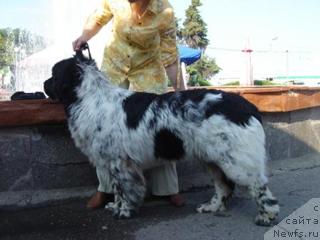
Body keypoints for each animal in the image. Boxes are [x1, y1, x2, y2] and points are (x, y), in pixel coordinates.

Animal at [43, 51, 278, 226]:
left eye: (53, 74)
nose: (44, 85)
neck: (90, 99)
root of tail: (249, 107)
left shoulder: (120, 163)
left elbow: (125, 190)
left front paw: (124, 212)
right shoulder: (113, 163)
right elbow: (118, 191)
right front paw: (115, 207)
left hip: (237, 161)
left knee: (258, 186)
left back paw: (266, 216)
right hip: (212, 158)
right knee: (223, 186)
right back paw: (211, 207)